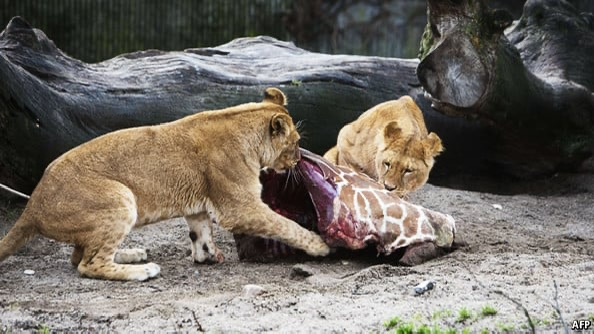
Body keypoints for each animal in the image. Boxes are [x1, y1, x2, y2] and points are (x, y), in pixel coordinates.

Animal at [0, 87, 328, 280]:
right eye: (295, 142)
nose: (299, 159)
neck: (242, 122)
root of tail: (33, 205)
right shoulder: (239, 207)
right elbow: (285, 225)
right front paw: (319, 245)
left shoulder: (200, 204)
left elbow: (200, 232)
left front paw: (207, 256)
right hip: (120, 199)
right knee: (87, 264)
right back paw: (142, 270)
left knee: (78, 255)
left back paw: (133, 254)